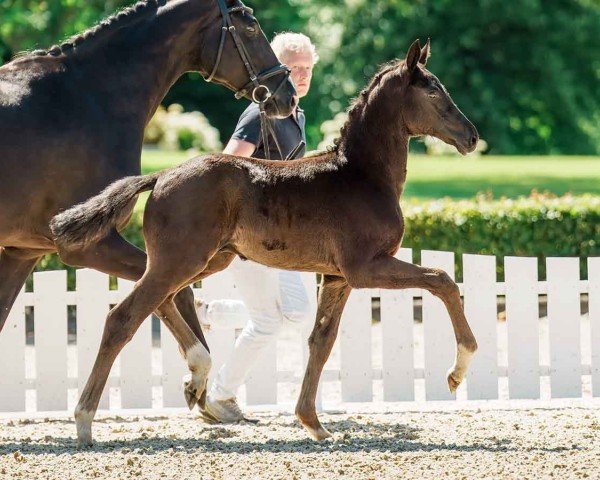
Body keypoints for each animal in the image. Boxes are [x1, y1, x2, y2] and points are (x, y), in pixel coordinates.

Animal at [0, 0, 296, 382]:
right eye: (250, 27)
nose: (287, 94)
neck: (89, 98)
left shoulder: (22, 250)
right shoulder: (88, 247)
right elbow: (175, 294)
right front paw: (198, 377)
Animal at [54, 38, 480, 446]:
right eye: (433, 91)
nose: (472, 137)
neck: (360, 176)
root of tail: (160, 176)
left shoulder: (338, 278)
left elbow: (321, 341)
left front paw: (314, 424)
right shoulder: (366, 268)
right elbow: (442, 279)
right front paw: (458, 370)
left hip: (204, 261)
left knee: (163, 301)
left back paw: (196, 379)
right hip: (181, 261)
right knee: (123, 318)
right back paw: (85, 421)